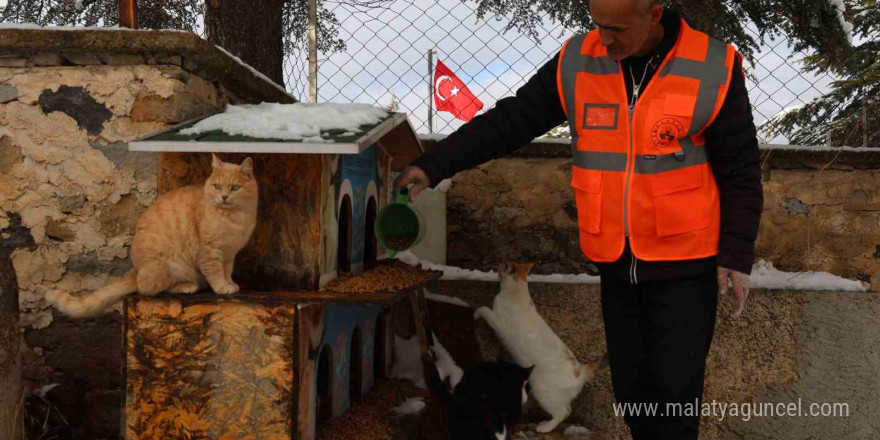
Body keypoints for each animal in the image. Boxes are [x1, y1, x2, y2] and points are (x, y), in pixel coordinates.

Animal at [46, 155, 258, 316]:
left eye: (235, 188)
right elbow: (215, 273)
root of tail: (136, 270)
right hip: (171, 265)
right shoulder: (210, 252)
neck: (233, 217)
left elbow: (227, 271)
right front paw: (222, 287)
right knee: (149, 288)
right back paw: (186, 286)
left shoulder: (229, 254)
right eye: (217, 186)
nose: (224, 196)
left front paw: (230, 283)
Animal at [474, 262, 604, 434]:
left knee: (564, 412)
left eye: (502, 267)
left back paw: (545, 427)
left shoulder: (497, 322)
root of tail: (580, 371)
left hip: (543, 392)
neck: (518, 291)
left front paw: (475, 313)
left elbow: (484, 309)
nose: (496, 270)